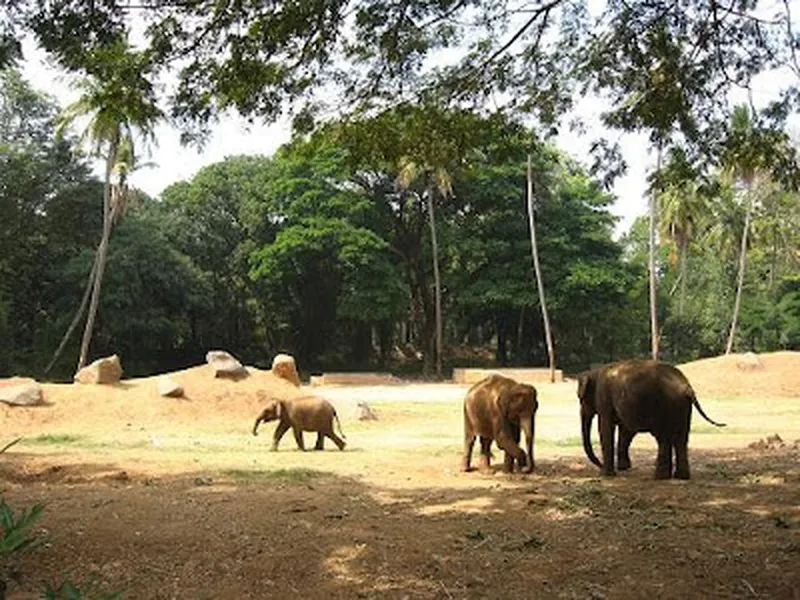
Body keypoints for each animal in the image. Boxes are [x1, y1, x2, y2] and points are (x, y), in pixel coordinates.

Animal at [576, 358, 724, 480]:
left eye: (580, 398)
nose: (599, 465)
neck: (594, 372)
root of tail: (686, 387)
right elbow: (626, 430)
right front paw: (623, 468)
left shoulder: (604, 398)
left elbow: (606, 428)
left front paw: (605, 474)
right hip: (682, 407)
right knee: (681, 438)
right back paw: (680, 477)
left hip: (664, 406)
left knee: (664, 438)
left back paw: (660, 477)